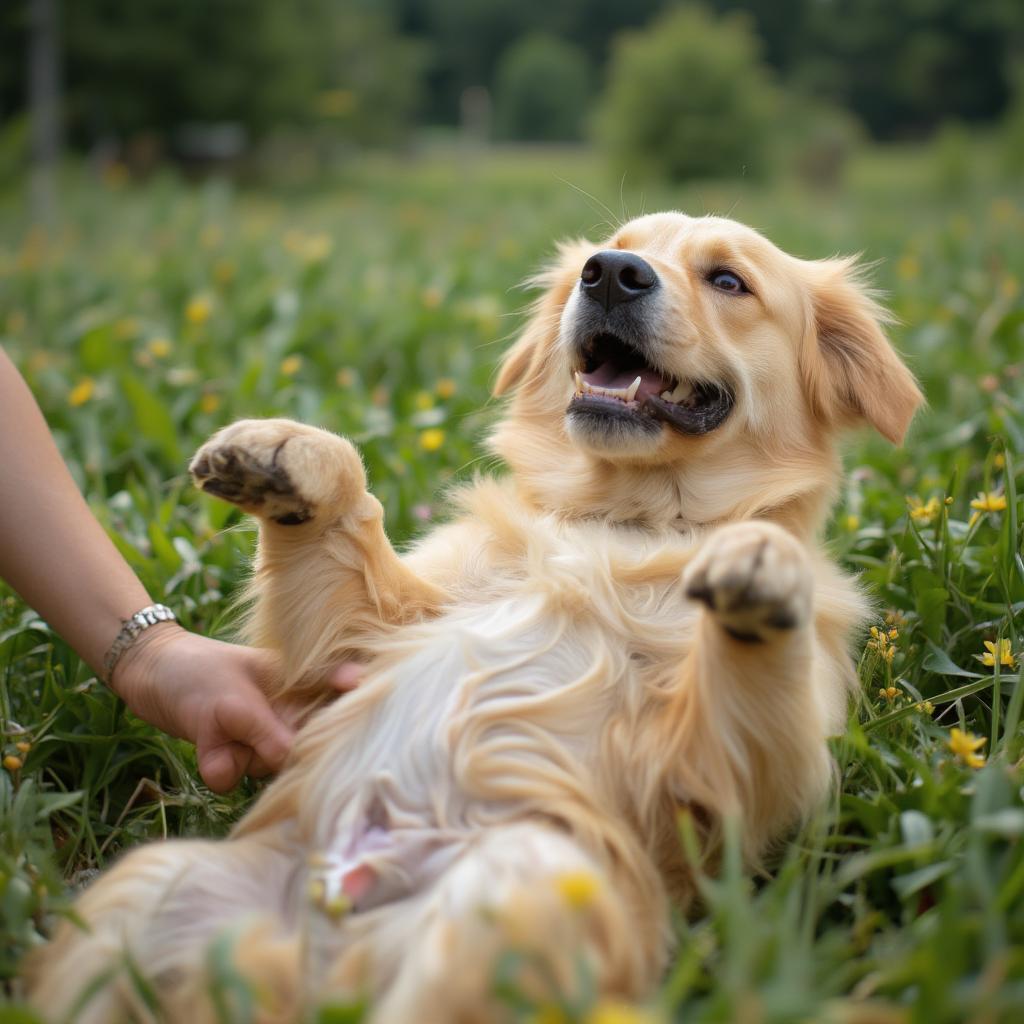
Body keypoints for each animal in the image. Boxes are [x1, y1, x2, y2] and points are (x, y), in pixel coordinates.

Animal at [28, 211, 925, 1019]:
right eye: (616, 250)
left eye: (730, 281)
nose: (610, 275)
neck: (623, 523)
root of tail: (327, 950)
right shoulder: (361, 643)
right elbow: (347, 515)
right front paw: (287, 455)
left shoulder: (712, 785)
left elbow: (753, 730)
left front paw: (761, 566)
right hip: (153, 887)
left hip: (523, 869)